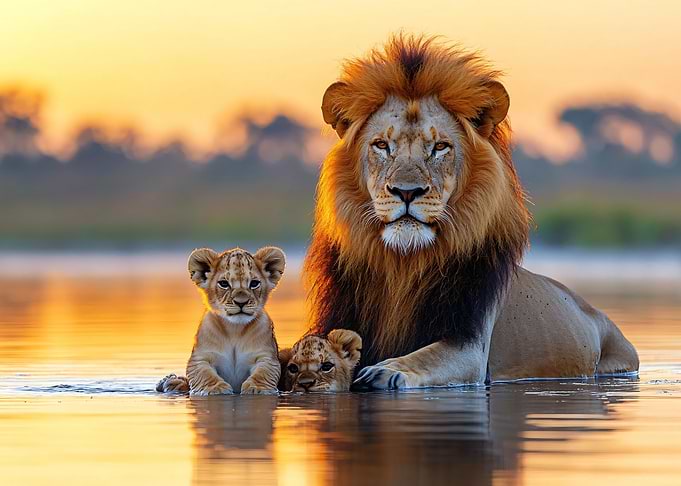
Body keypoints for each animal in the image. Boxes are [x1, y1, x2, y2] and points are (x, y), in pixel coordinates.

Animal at [157, 246, 285, 395]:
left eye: (254, 284)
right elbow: (203, 374)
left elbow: (264, 373)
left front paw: (258, 388)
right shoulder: (200, 358)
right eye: (224, 284)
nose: (241, 302)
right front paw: (215, 388)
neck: (235, 329)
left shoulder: (266, 357)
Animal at [304, 34, 639, 389]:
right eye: (382, 145)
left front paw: (386, 370)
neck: (403, 264)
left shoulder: (470, 348)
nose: (407, 192)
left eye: (439, 147)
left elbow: (424, 357)